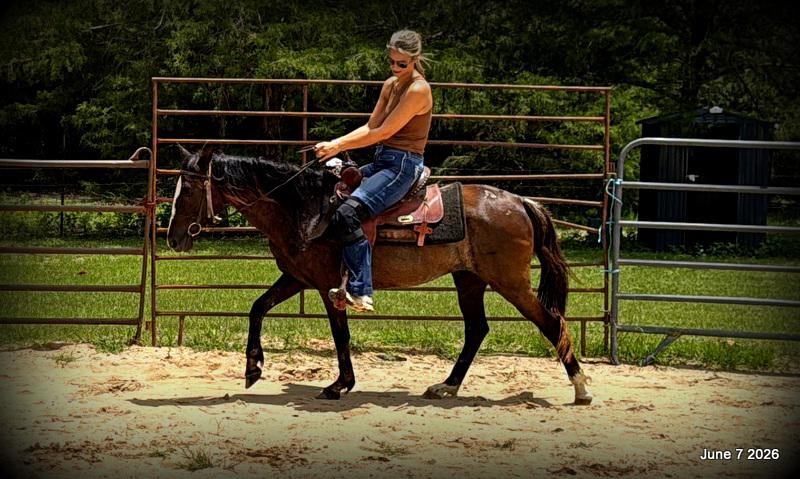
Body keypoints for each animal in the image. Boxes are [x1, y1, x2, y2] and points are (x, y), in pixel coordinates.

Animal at [166, 145, 593, 404]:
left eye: (188, 191)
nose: (172, 238)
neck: (304, 207)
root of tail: (521, 201)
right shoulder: (297, 278)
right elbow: (257, 308)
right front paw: (253, 368)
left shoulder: (328, 285)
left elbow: (340, 334)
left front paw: (339, 385)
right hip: (469, 279)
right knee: (477, 330)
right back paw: (446, 386)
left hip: (510, 282)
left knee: (551, 322)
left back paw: (581, 388)